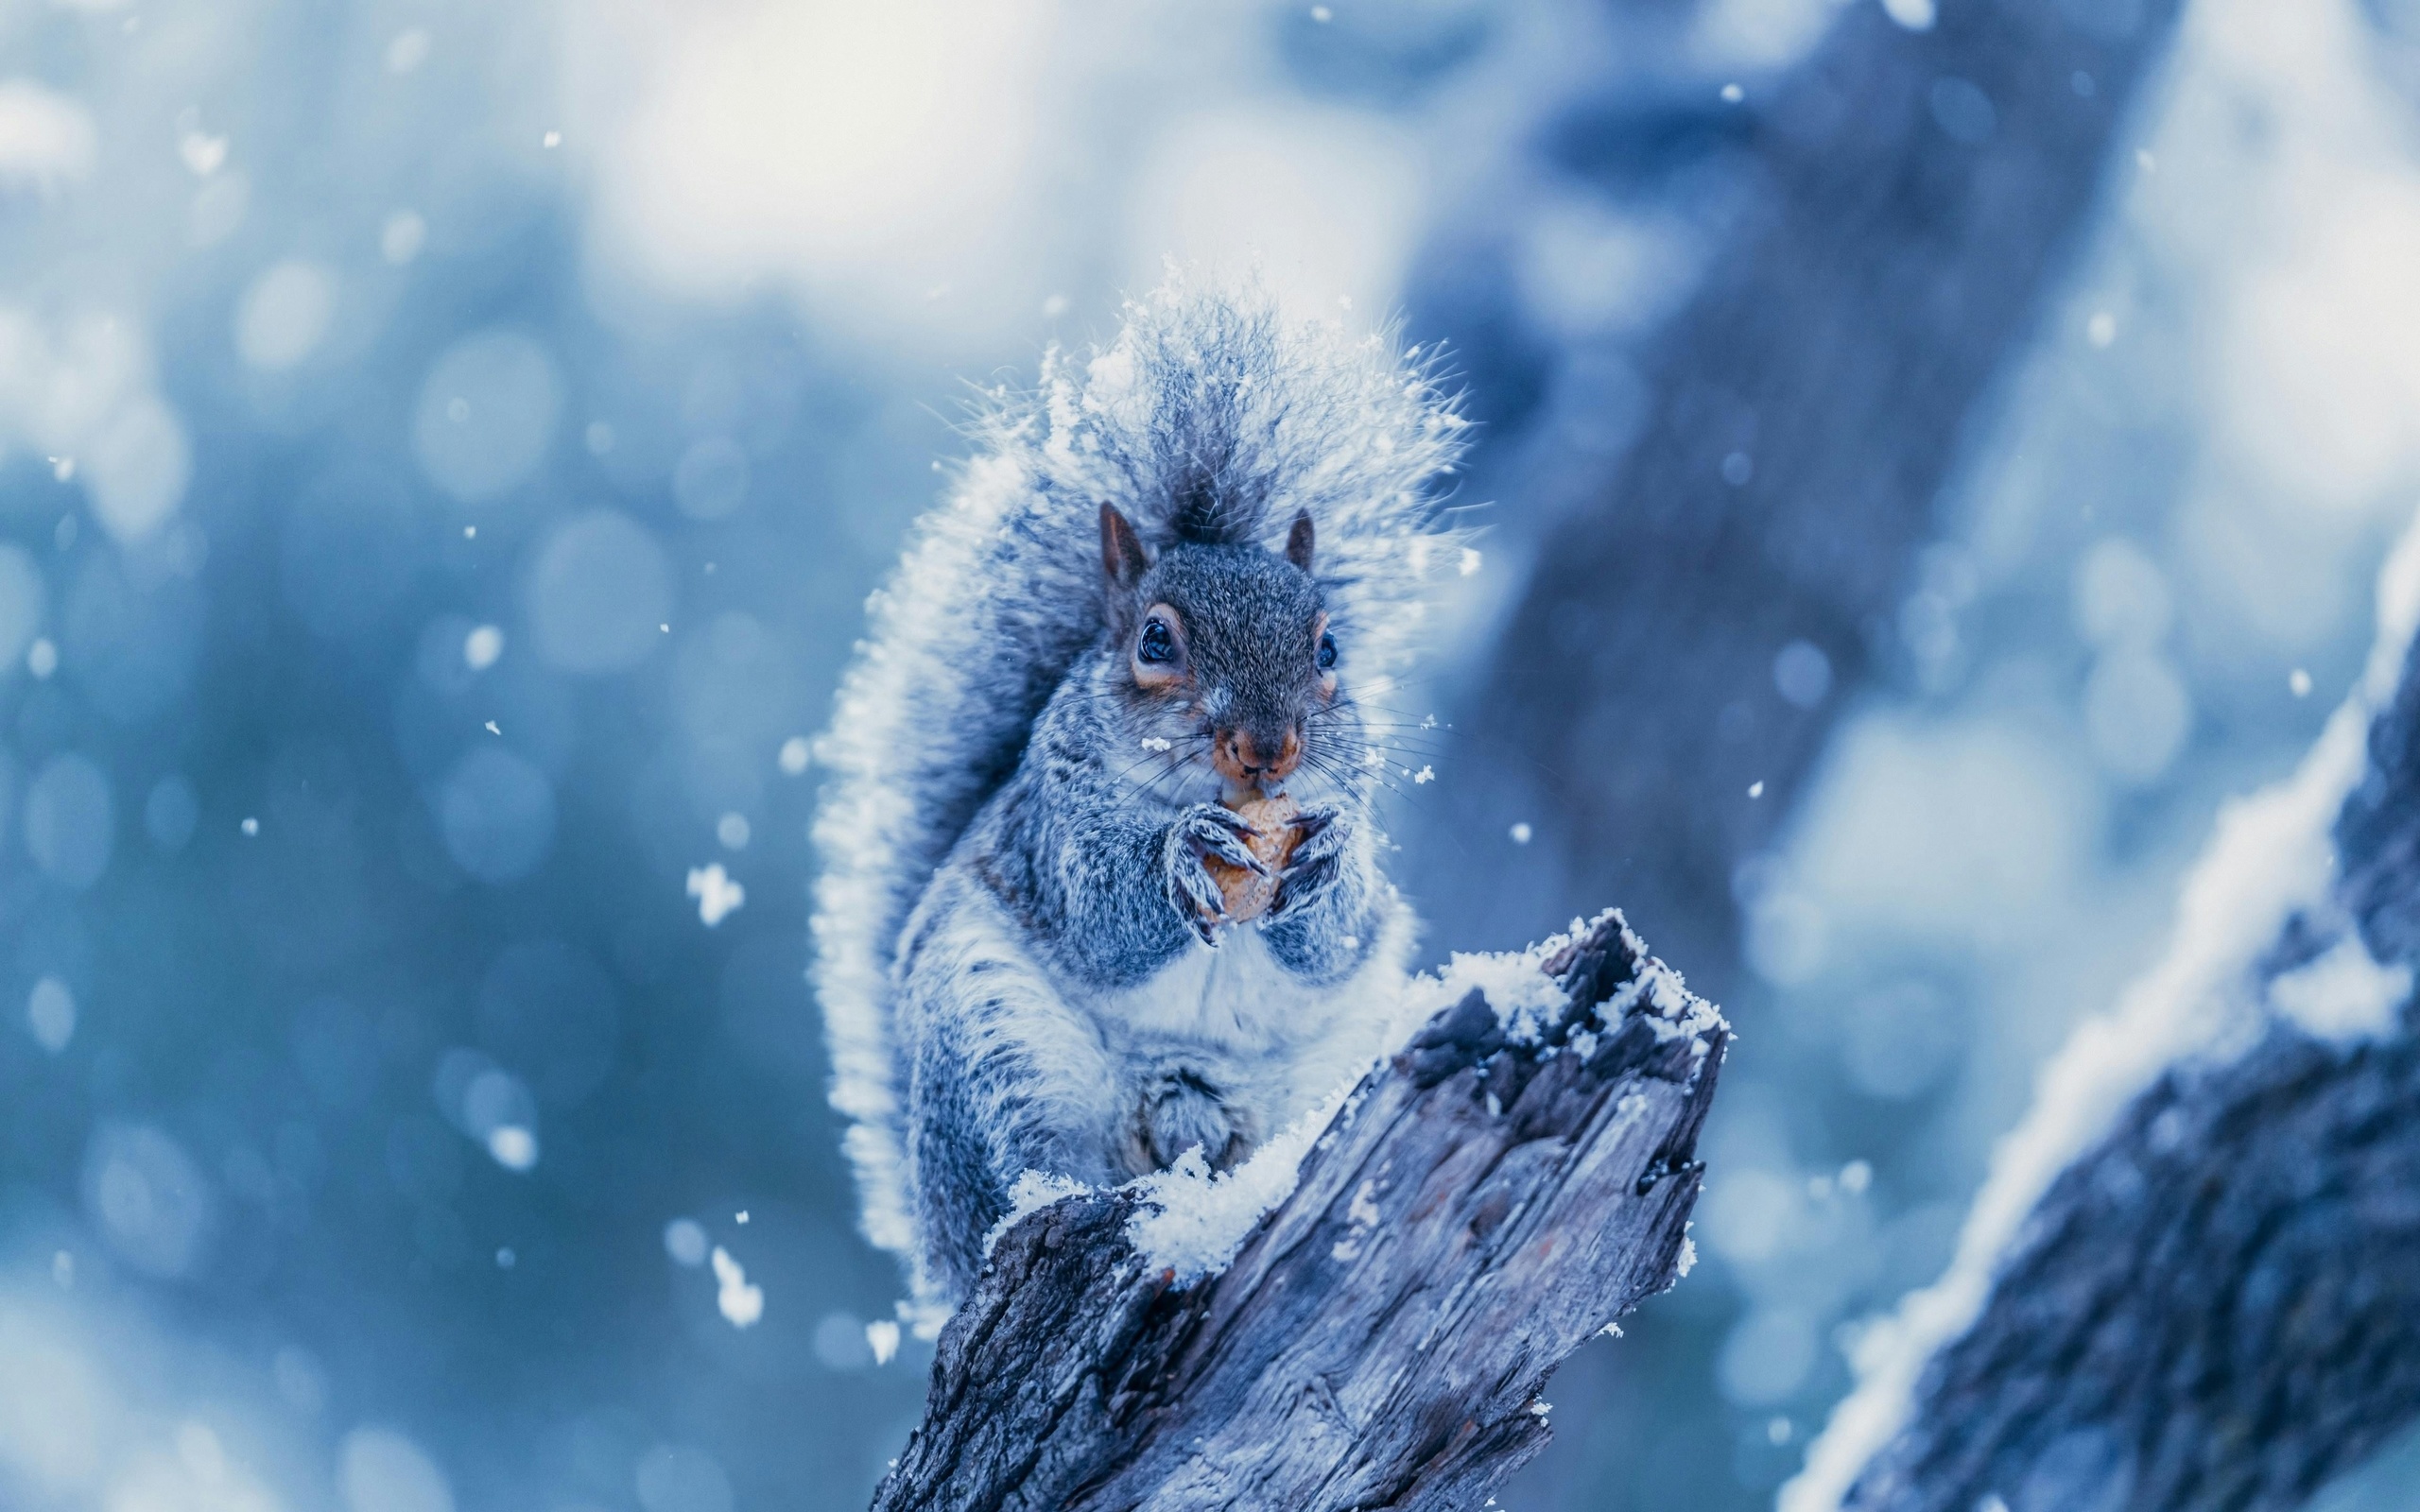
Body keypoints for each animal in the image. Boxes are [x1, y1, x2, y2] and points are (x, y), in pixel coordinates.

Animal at [808, 277, 1471, 1315]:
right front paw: (1179, 855)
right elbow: (1098, 911)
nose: (1269, 749)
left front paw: (1327, 861)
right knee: (1018, 1176)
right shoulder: (1051, 825)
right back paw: (1041, 1206)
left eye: (1329, 649)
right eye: (1154, 642)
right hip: (995, 1044)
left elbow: (1334, 935)